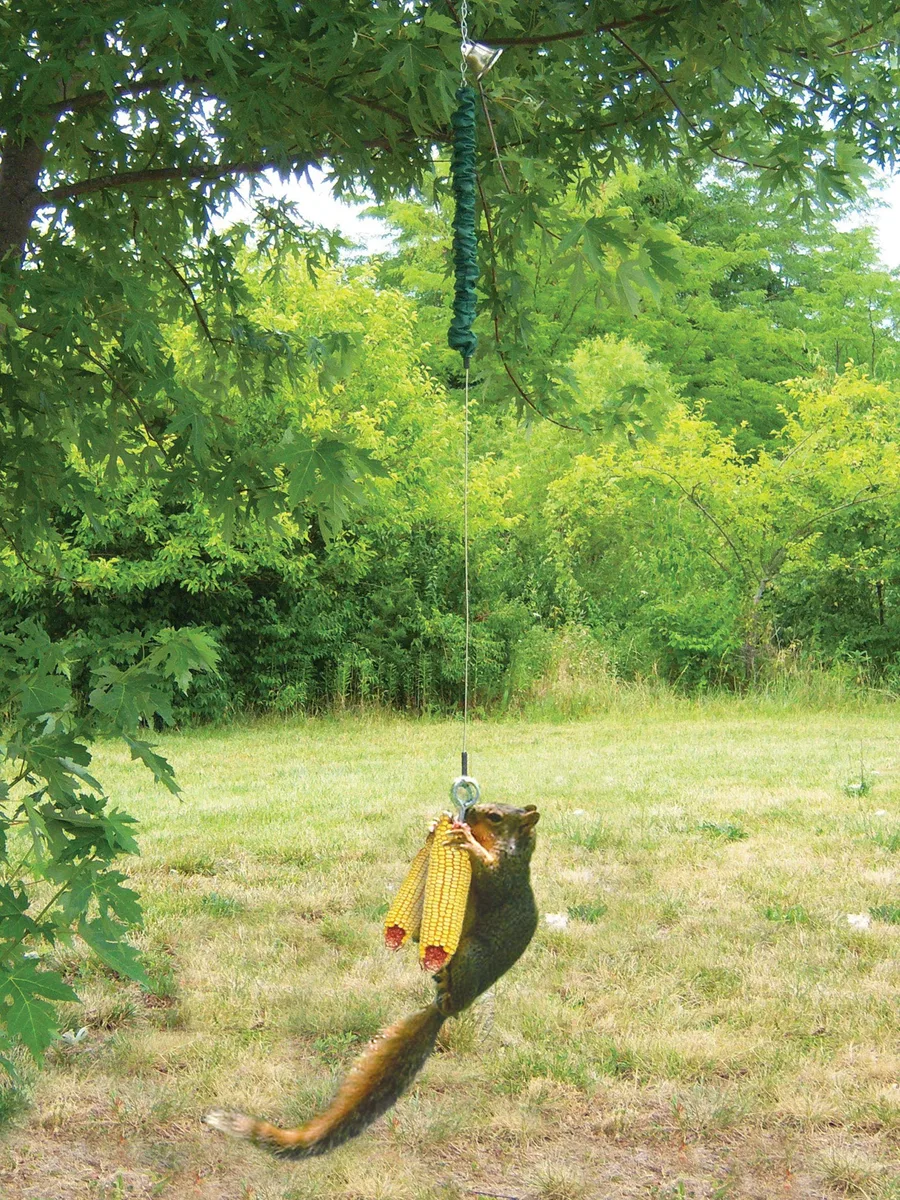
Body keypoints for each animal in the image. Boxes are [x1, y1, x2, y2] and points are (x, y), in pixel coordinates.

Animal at [203, 800, 540, 1158]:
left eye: (495, 817)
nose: (470, 809)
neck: (512, 848)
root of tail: (443, 1010)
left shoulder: (508, 876)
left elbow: (492, 879)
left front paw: (466, 840)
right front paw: (436, 828)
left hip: (472, 955)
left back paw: (449, 990)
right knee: (422, 939)